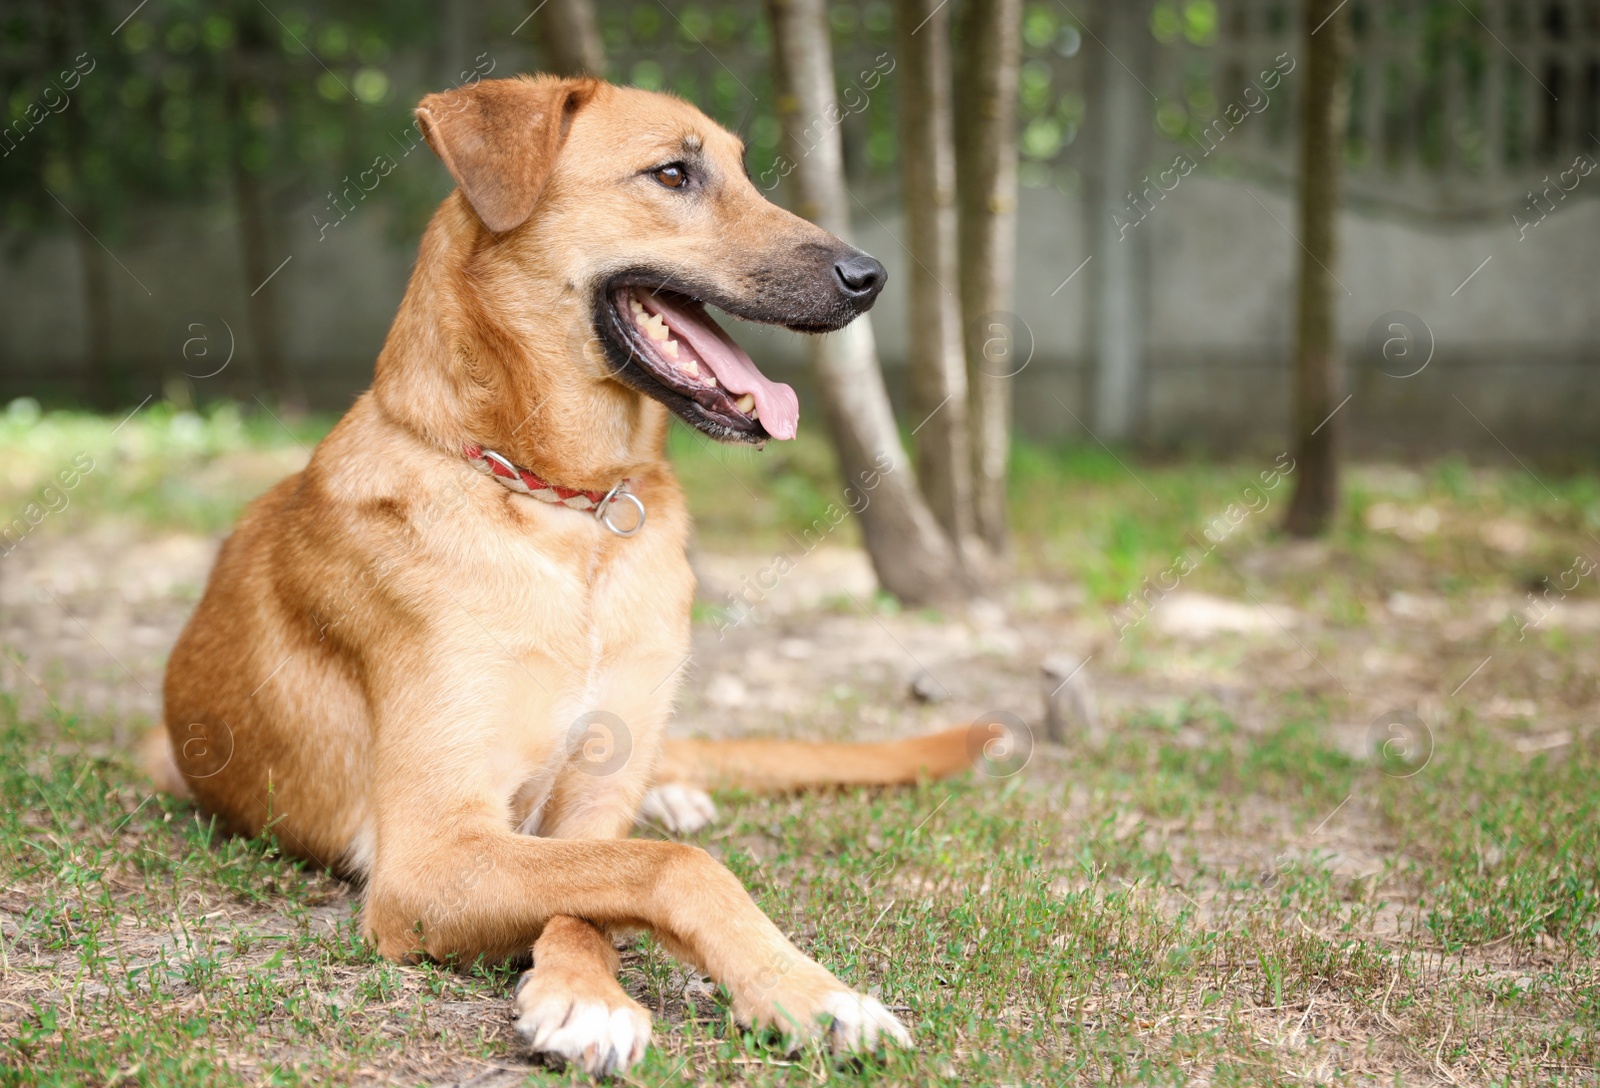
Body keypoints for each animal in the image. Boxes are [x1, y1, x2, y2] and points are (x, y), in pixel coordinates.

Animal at [150, 78, 979, 1081]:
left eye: (744, 171)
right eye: (674, 173)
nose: (870, 276)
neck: (571, 512)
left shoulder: (585, 810)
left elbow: (599, 896)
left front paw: (603, 991)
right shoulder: (432, 855)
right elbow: (666, 869)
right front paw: (799, 994)